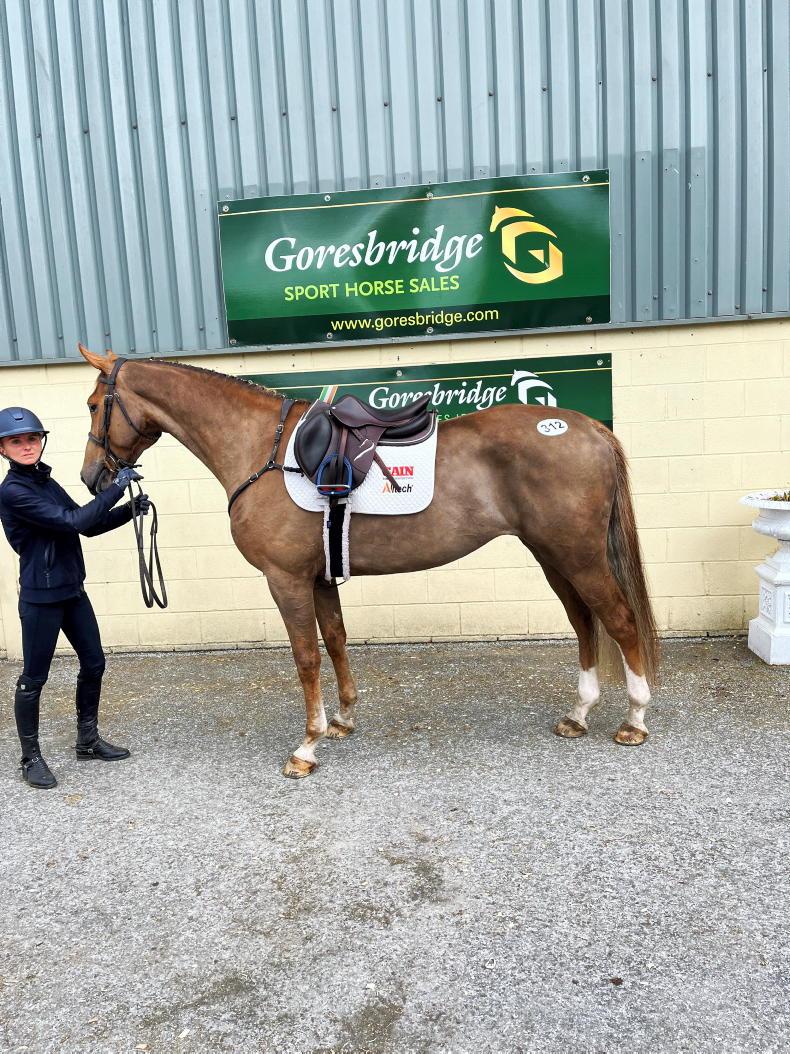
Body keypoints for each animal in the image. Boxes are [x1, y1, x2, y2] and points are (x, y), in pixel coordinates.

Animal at [77, 344, 659, 778]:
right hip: (553, 556)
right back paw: (578, 714)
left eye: (93, 404)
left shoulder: (286, 580)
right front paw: (342, 719)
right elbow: (335, 641)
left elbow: (306, 657)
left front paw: (306, 747)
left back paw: (634, 720)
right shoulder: (317, 577)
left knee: (620, 621)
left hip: (578, 555)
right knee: (584, 623)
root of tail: (590, 428)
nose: (90, 478)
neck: (265, 451)